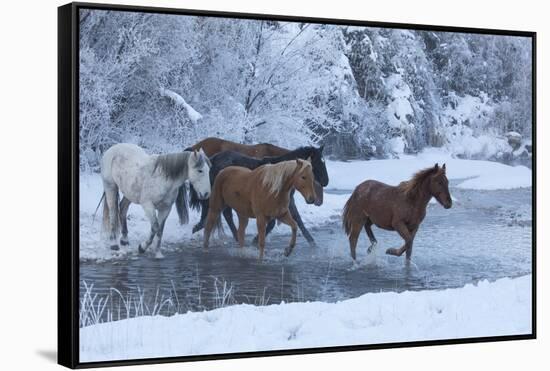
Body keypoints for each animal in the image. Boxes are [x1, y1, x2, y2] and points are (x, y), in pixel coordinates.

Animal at [183, 147, 330, 248]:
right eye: (317, 163)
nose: (326, 181)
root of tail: (213, 160)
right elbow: (273, 223)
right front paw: (255, 240)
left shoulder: (288, 202)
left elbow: (298, 220)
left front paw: (312, 242)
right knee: (225, 213)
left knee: (224, 214)